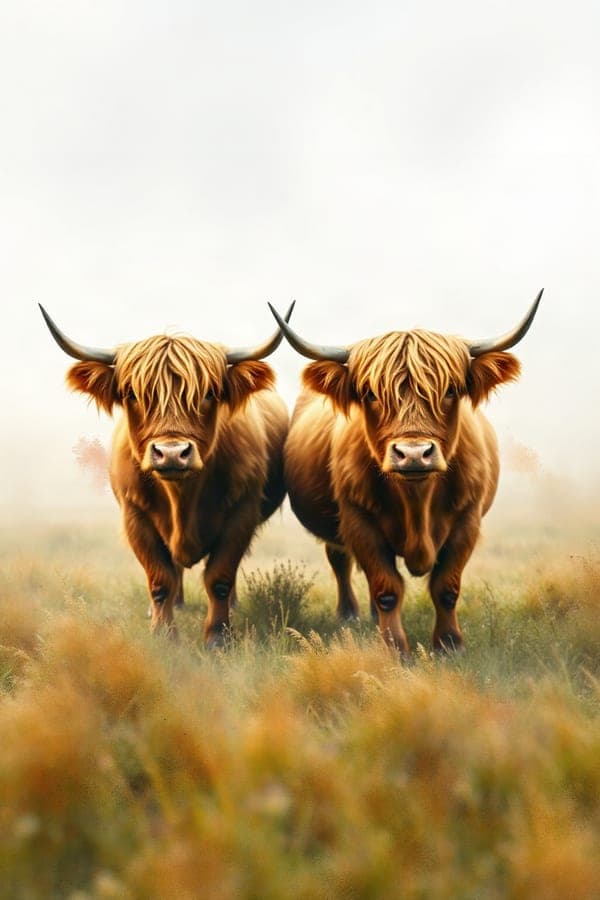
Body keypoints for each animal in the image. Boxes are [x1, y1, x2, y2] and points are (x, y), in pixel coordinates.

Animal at [40, 304, 293, 646]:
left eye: (209, 393)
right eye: (132, 394)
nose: (172, 453)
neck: (183, 498)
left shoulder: (242, 513)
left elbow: (220, 577)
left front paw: (218, 636)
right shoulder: (135, 516)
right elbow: (160, 579)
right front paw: (163, 635)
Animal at [269, 292, 542, 654]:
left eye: (451, 390)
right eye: (371, 394)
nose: (413, 454)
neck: (416, 500)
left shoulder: (467, 521)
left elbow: (446, 587)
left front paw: (450, 644)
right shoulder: (359, 522)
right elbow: (387, 588)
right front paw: (394, 646)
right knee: (341, 561)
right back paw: (350, 615)